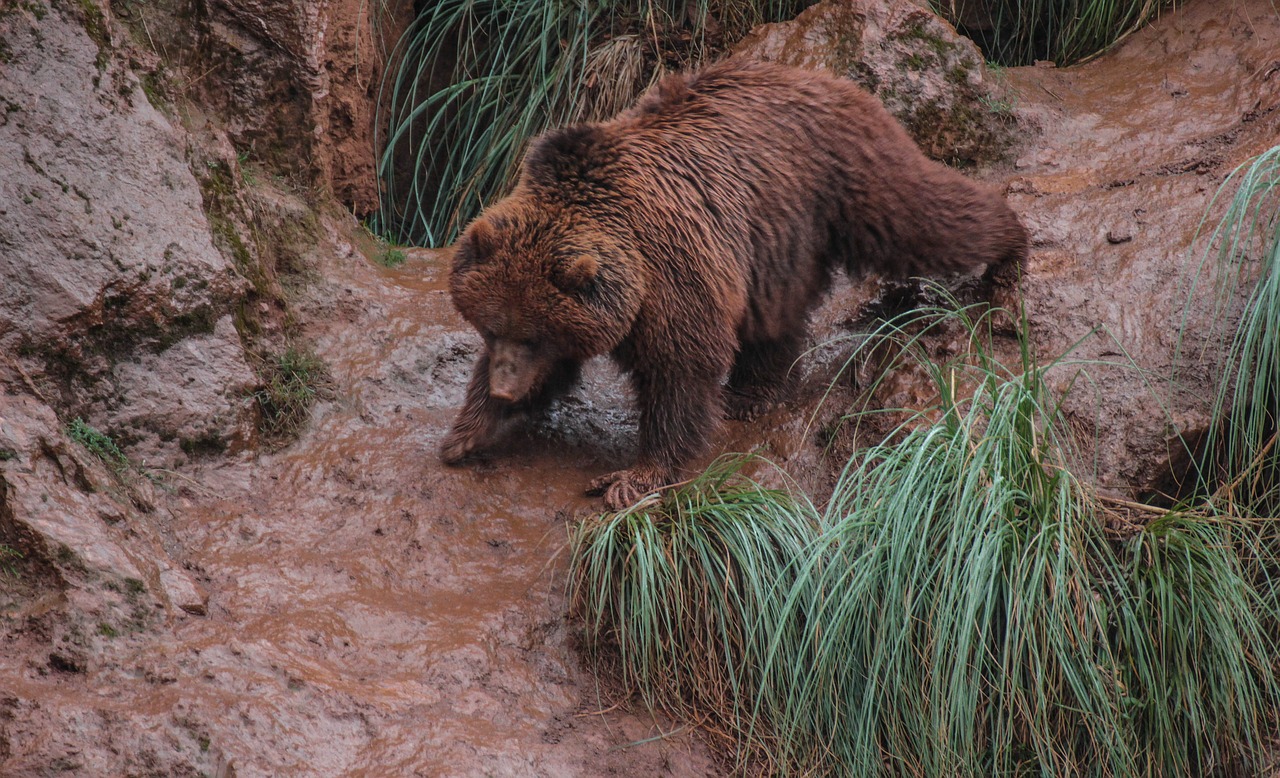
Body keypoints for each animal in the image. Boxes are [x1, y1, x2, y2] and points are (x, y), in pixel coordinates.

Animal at [440, 57, 1029, 506]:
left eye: (532, 335)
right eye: (493, 329)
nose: (505, 384)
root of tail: (827, 78)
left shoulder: (668, 271)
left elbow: (682, 365)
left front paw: (635, 475)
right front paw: (466, 433)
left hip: (846, 178)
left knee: (923, 219)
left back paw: (1009, 258)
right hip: (777, 238)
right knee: (778, 314)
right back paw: (755, 389)